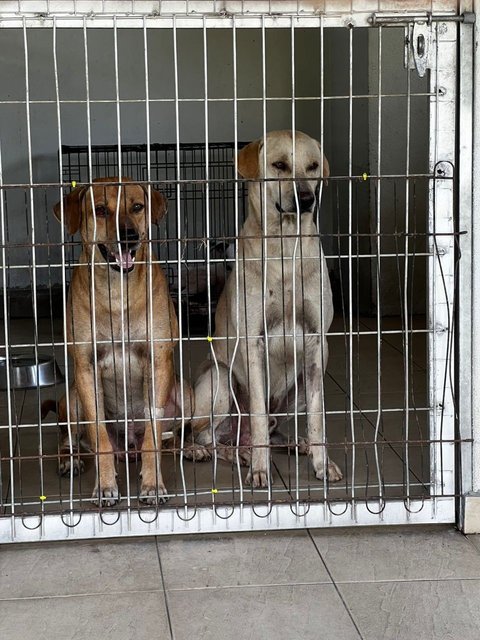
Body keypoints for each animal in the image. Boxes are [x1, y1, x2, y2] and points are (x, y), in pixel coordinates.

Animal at [51, 179, 188, 504]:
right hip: (72, 398)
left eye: (137, 206)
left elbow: (153, 436)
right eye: (100, 210)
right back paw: (69, 460)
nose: (129, 236)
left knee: (170, 438)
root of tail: (128, 448)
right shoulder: (85, 368)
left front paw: (152, 484)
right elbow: (99, 435)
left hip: (185, 393)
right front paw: (104, 486)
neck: (118, 291)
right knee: (67, 437)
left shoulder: (158, 361)